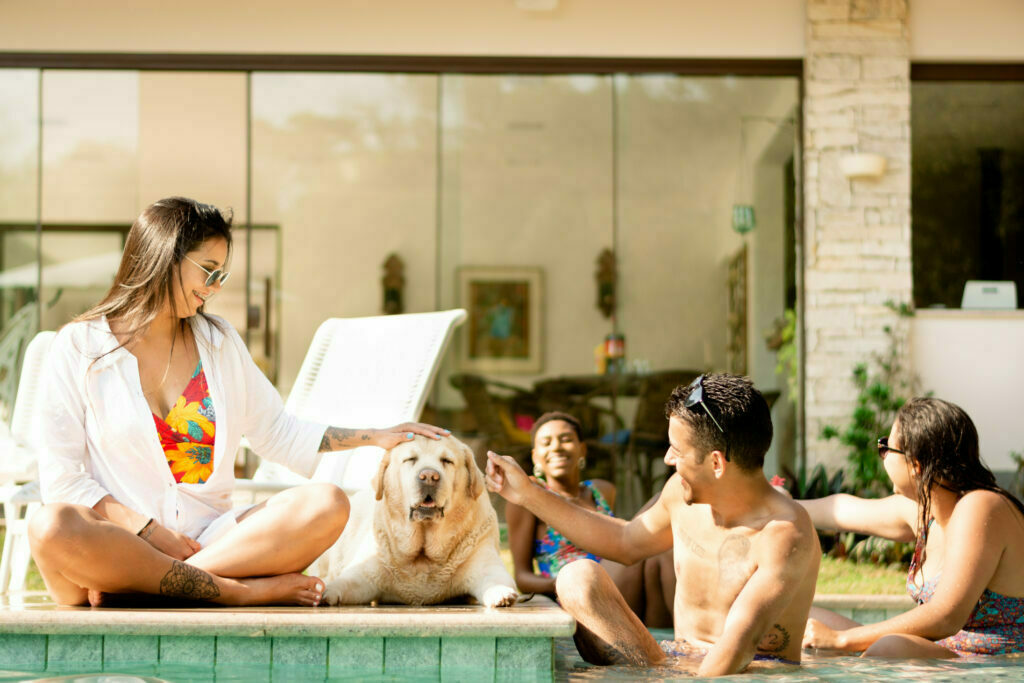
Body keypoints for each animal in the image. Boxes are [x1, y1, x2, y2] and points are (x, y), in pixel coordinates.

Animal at [311, 436, 520, 606]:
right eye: (410, 459)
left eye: (447, 461)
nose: (429, 476)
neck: (423, 556)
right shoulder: (366, 572)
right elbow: (345, 581)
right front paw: (325, 592)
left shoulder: (483, 560)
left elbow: (494, 578)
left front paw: (501, 593)